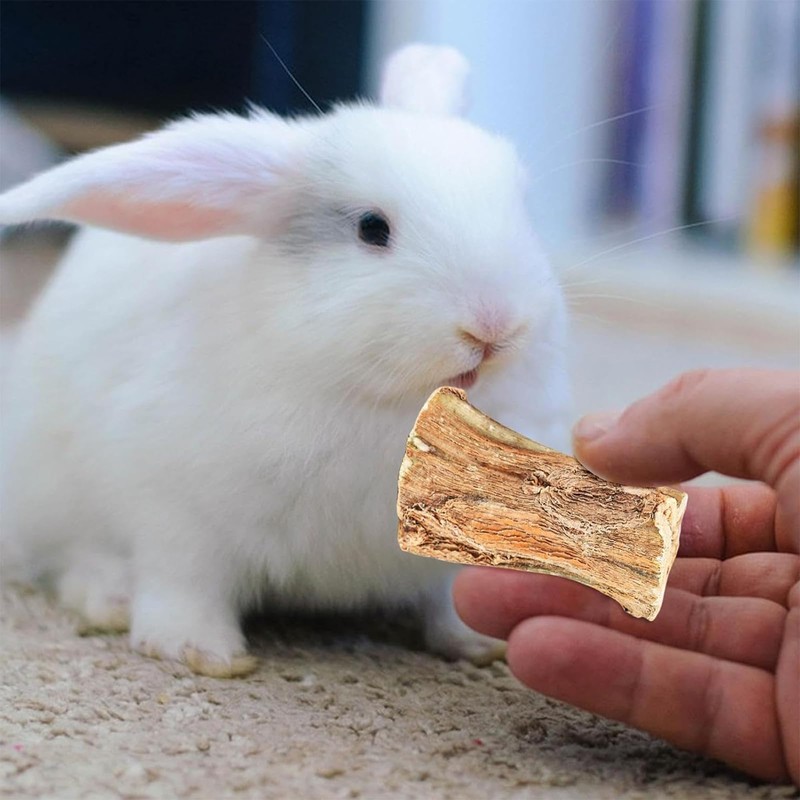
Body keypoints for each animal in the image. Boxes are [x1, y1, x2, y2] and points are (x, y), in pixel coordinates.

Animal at [0, 44, 571, 677]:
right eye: (372, 228)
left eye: (521, 207)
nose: (496, 326)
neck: (391, 407)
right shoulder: (179, 516)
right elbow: (184, 584)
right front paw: (199, 651)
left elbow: (453, 595)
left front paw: (480, 643)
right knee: (73, 559)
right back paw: (110, 600)